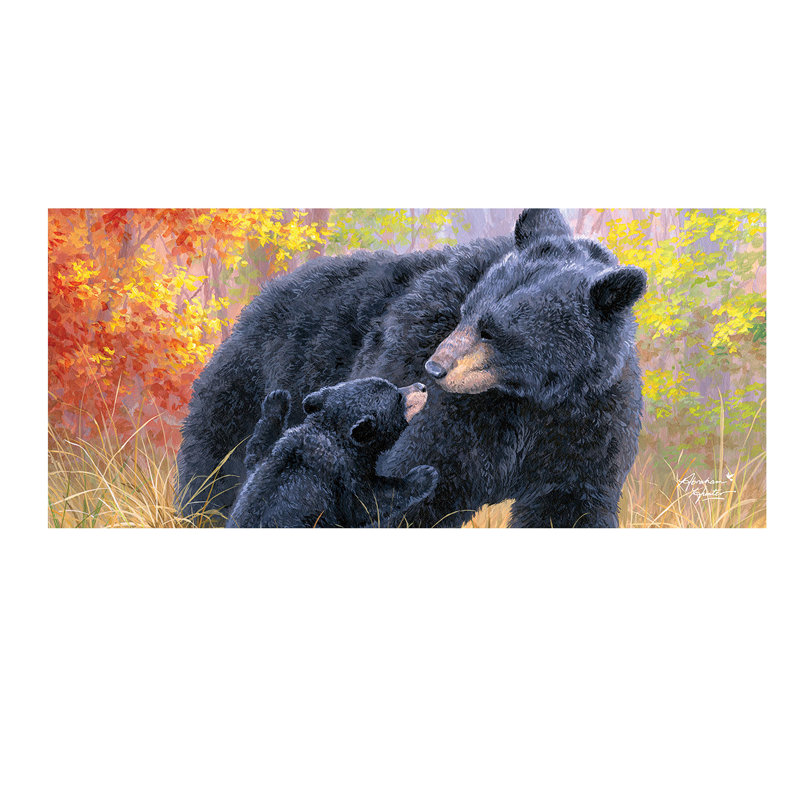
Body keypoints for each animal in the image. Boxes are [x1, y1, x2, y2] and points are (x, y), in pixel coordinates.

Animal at [225, 379, 439, 528]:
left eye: (396, 387)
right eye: (398, 397)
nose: (422, 386)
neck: (330, 433)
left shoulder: (275, 454)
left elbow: (257, 450)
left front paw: (277, 400)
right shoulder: (339, 476)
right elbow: (366, 503)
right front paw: (423, 475)